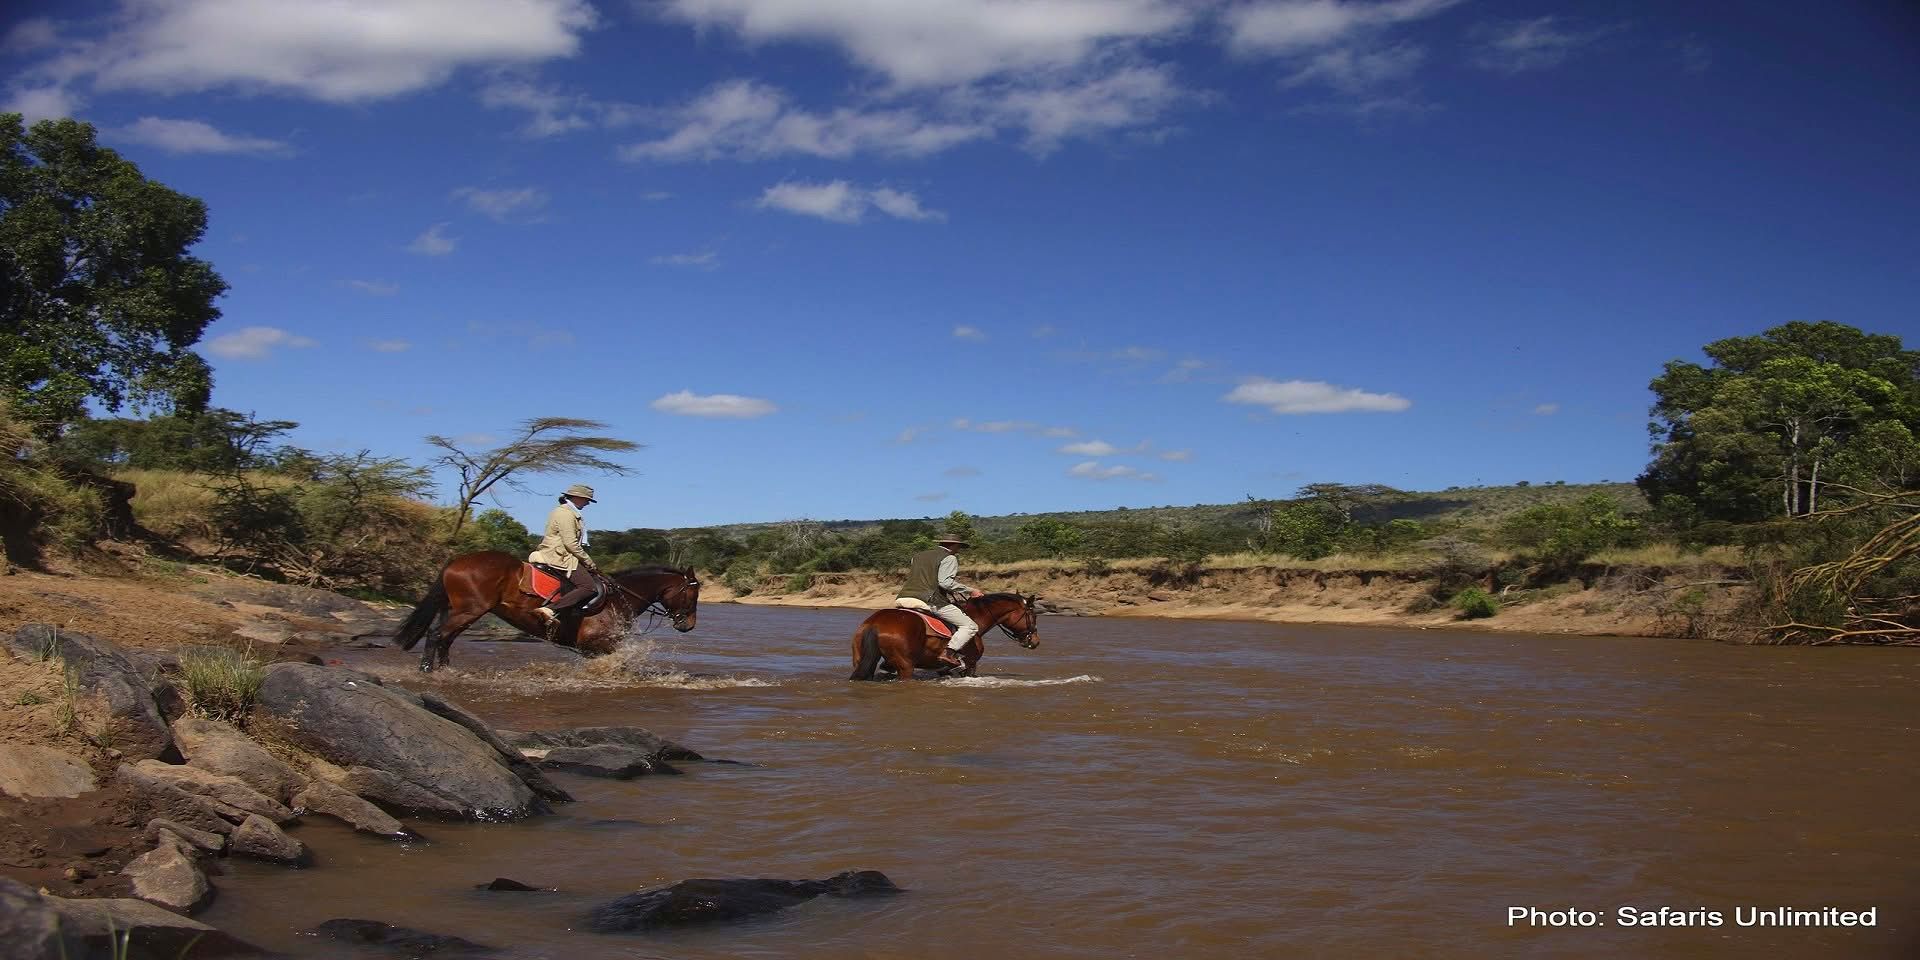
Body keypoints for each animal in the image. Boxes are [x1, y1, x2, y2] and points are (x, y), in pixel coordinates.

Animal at [394, 550, 699, 672]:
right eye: (693, 593)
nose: (689, 625)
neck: (620, 597)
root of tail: (455, 562)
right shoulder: (597, 644)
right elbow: (621, 663)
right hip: (470, 610)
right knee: (437, 634)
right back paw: (427, 670)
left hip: (459, 611)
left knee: (446, 637)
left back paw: (446, 669)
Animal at [848, 593, 1040, 681]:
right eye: (1033, 615)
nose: (1036, 641)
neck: (976, 619)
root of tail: (875, 623)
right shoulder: (970, 664)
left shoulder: (944, 669)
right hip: (905, 667)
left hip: (861, 660)